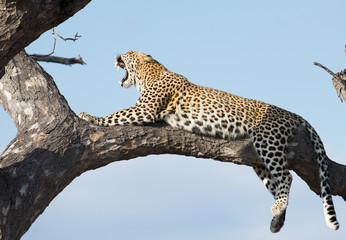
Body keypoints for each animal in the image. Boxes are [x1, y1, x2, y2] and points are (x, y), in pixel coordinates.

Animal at [77, 51, 338, 232]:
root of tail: (292, 113)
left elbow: (115, 115)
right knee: (277, 179)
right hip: (258, 159)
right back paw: (277, 220)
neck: (149, 73)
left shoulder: (145, 109)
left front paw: (89, 116)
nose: (116, 54)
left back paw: (277, 208)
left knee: (287, 176)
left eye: (128, 52)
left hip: (266, 139)